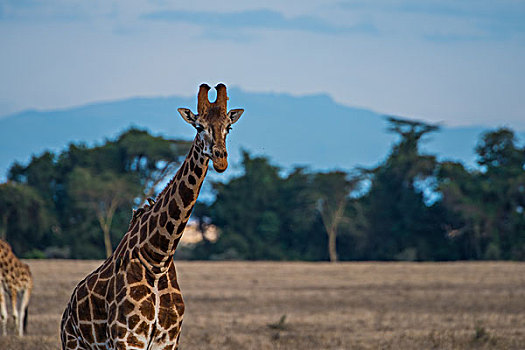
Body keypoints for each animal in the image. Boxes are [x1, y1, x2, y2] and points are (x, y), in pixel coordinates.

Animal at [60, 83, 245, 348]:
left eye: (228, 127)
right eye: (198, 126)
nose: (221, 160)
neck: (158, 260)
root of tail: (67, 311)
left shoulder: (167, 341)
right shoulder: (127, 339)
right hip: (73, 343)